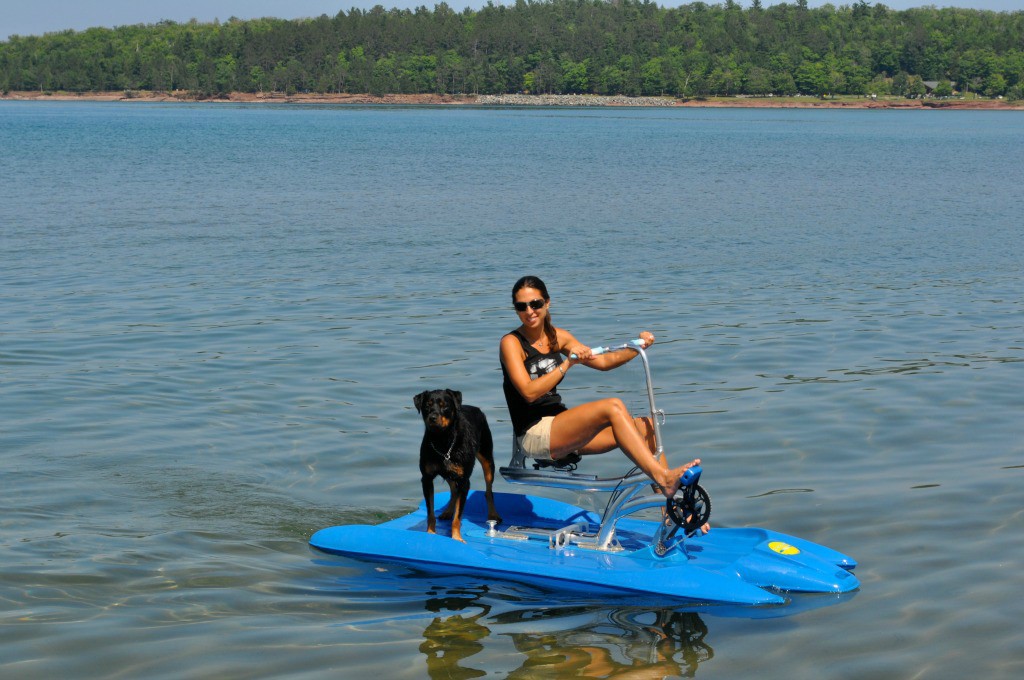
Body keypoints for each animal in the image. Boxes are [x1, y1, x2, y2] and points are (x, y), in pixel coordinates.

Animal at [411, 387, 499, 540]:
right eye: (427, 405)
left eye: (444, 406)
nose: (432, 417)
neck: (443, 440)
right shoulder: (427, 479)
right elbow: (430, 512)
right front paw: (430, 533)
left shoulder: (464, 481)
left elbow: (457, 517)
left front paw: (457, 538)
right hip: (450, 472)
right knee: (453, 489)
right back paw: (448, 511)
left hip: (487, 459)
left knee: (488, 490)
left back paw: (493, 514)